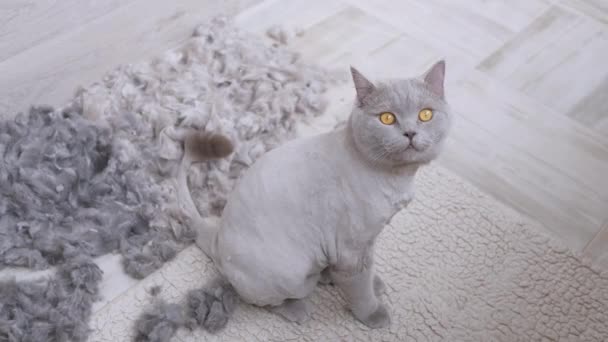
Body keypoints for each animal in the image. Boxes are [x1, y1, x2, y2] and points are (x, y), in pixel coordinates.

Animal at [176, 60, 452, 332]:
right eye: (387, 118)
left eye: (425, 115)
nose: (410, 133)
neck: (397, 178)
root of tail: (217, 235)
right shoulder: (350, 249)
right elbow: (360, 291)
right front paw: (374, 315)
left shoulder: (367, 241)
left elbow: (367, 270)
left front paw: (374, 284)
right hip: (291, 273)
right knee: (265, 300)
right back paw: (298, 308)